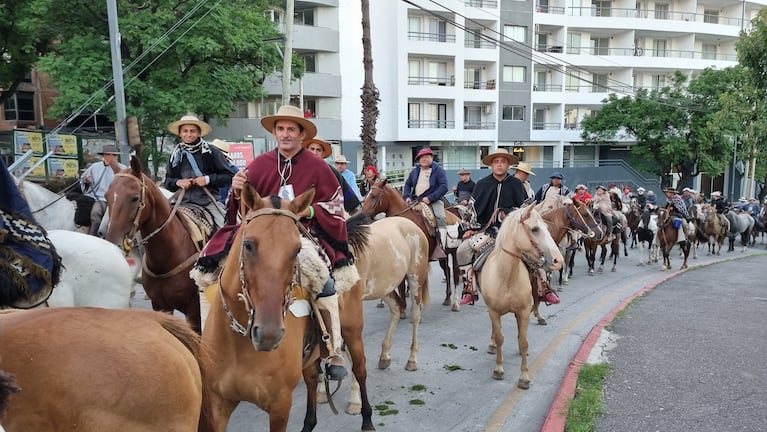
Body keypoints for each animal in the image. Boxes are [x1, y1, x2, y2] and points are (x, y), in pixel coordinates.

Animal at [201, 186, 376, 432]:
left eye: (297, 250)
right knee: (311, 377)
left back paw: (366, 417)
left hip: (353, 332)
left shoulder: (280, 405)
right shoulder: (218, 404)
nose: (268, 334)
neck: (239, 345)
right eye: (248, 245)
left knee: (359, 369)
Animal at [362, 179, 462, 310]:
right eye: (365, 197)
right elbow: (400, 284)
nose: (361, 215)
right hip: (443, 256)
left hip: (455, 253)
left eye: (373, 196)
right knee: (447, 270)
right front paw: (402, 305)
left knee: (455, 273)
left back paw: (455, 303)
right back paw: (447, 298)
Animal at [474, 206, 564, 388]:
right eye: (534, 229)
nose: (558, 260)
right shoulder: (494, 311)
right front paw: (498, 369)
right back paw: (492, 345)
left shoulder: (523, 311)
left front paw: (524, 377)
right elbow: (500, 338)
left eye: (546, 227)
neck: (506, 276)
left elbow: (524, 342)